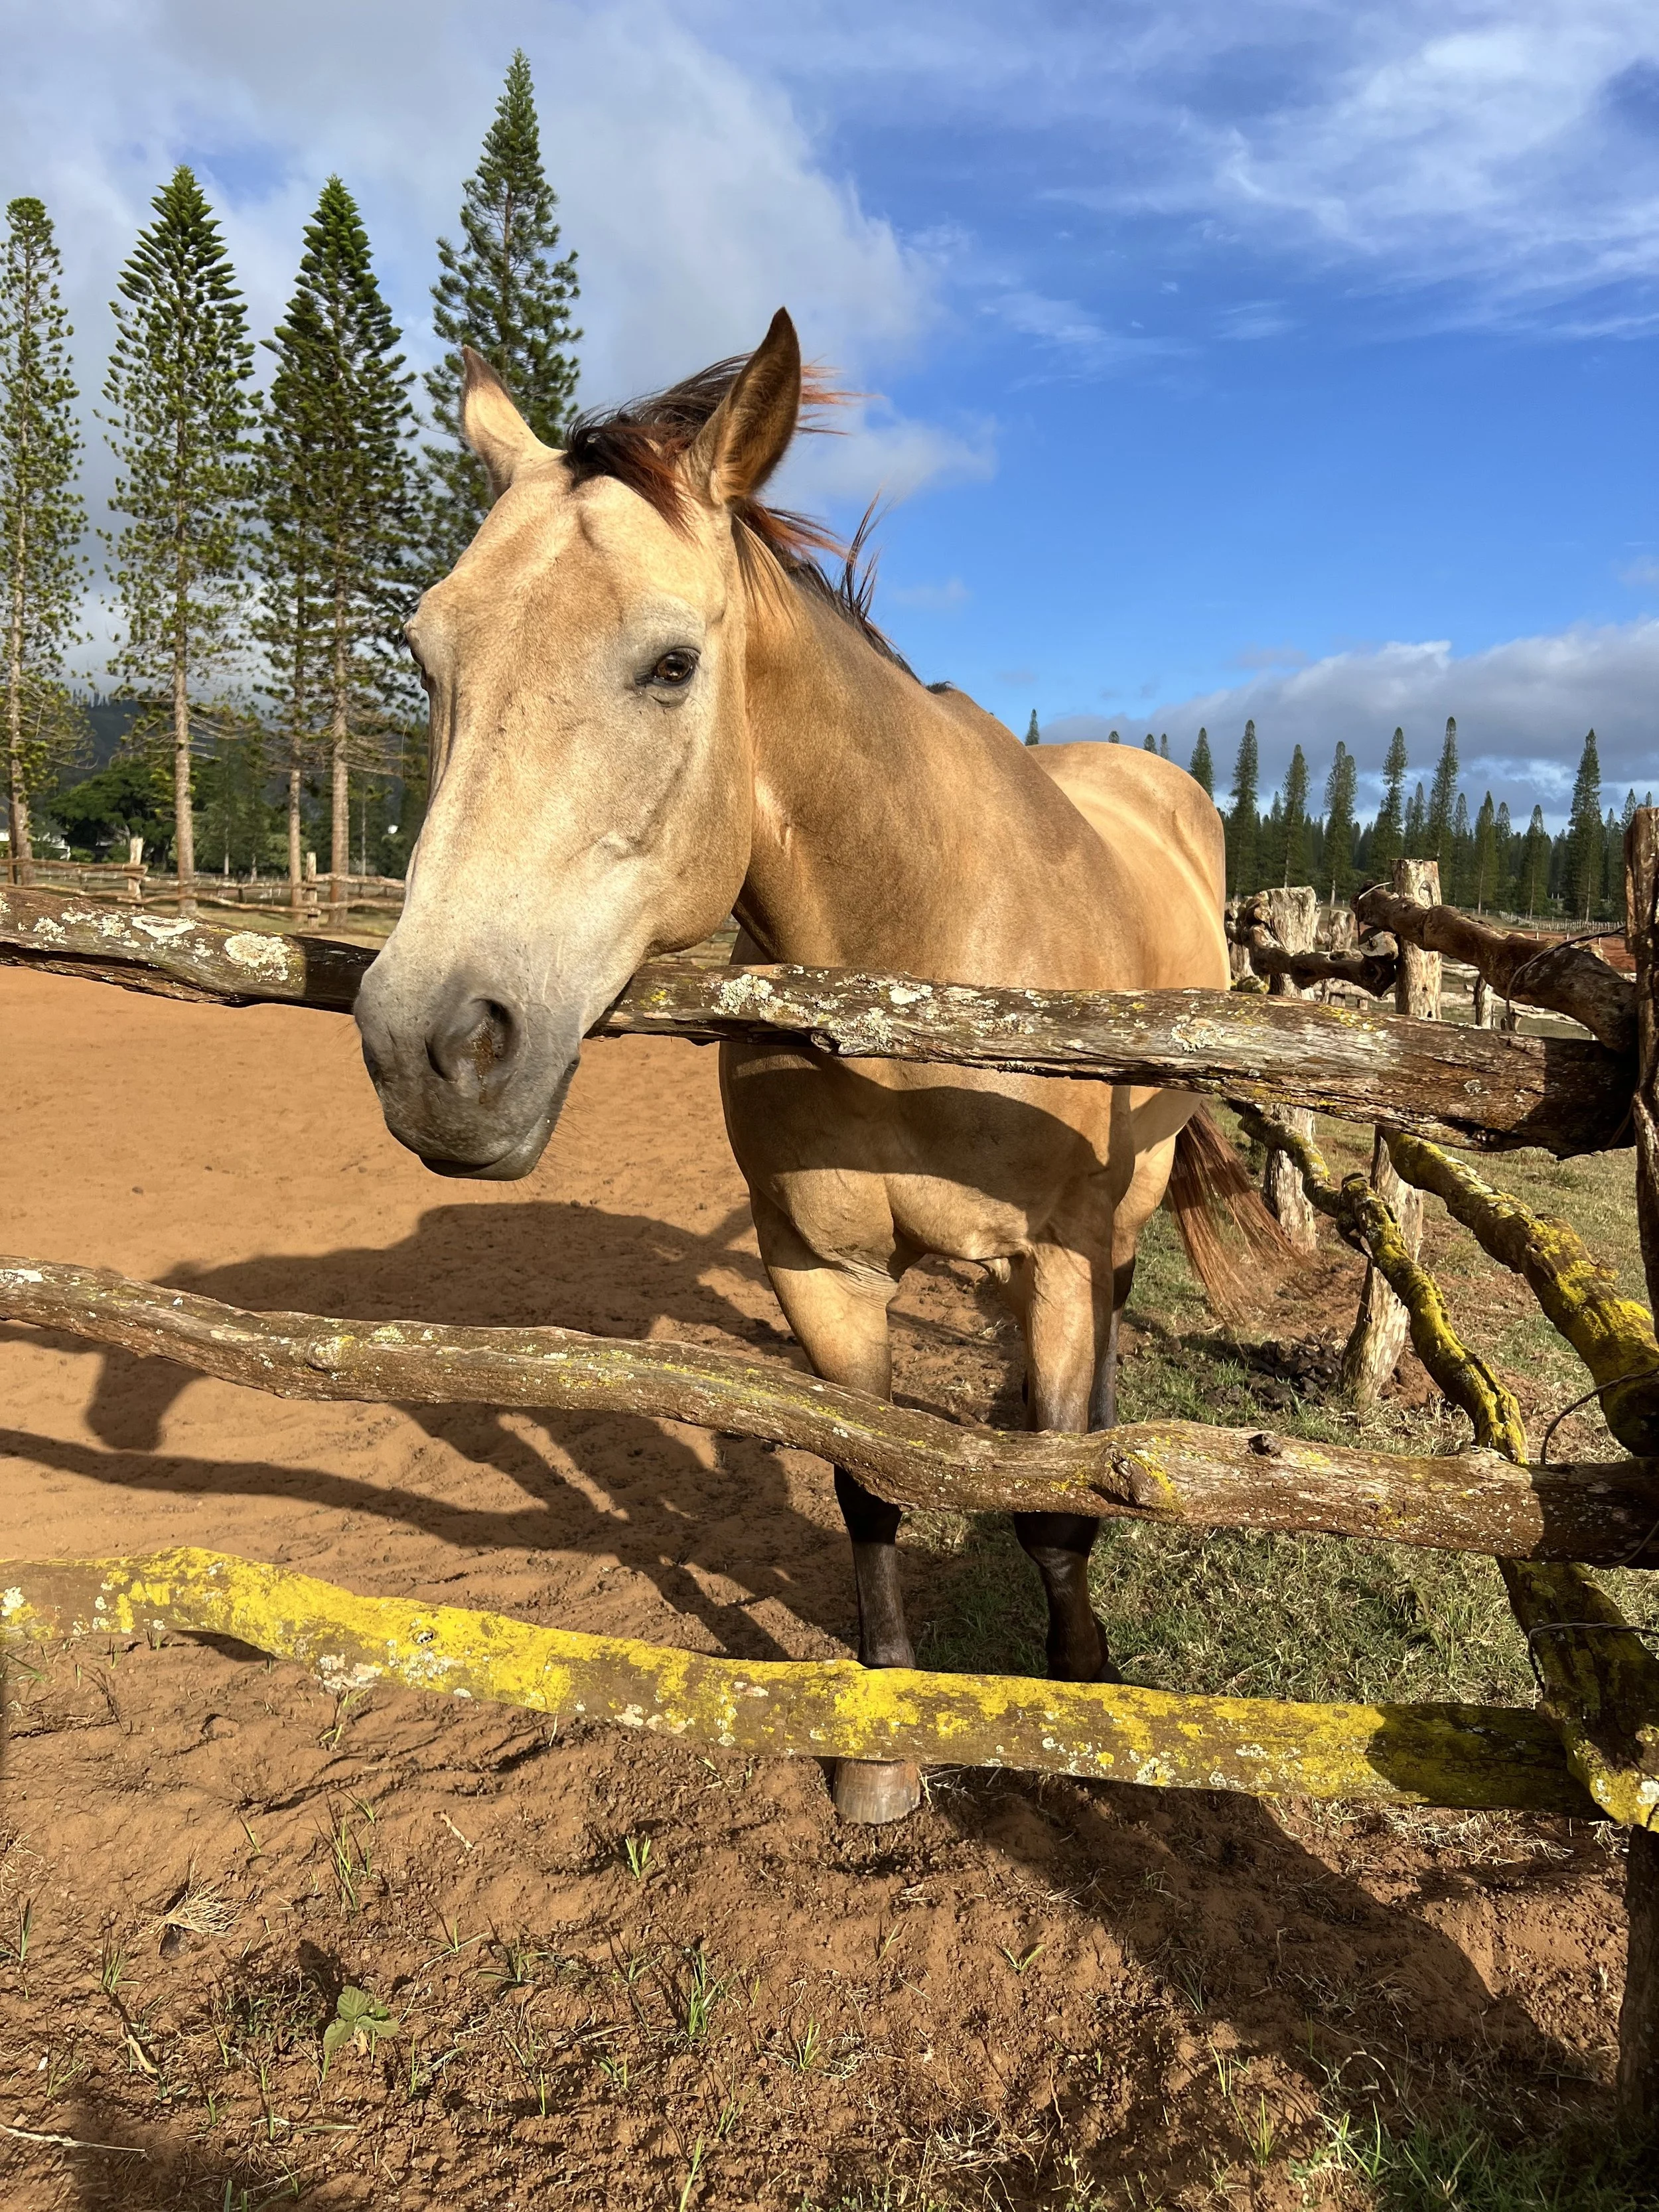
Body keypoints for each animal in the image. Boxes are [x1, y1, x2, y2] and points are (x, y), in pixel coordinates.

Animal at [355, 309, 1293, 1824]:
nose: (432, 1044)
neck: (918, 960)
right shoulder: (822, 1267)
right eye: (429, 653)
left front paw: (1081, 1690)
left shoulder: (1053, 1252)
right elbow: (869, 1487)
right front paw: (882, 1749)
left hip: (1130, 1195)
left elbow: (1045, 1500)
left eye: (671, 663)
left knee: (1099, 1341)